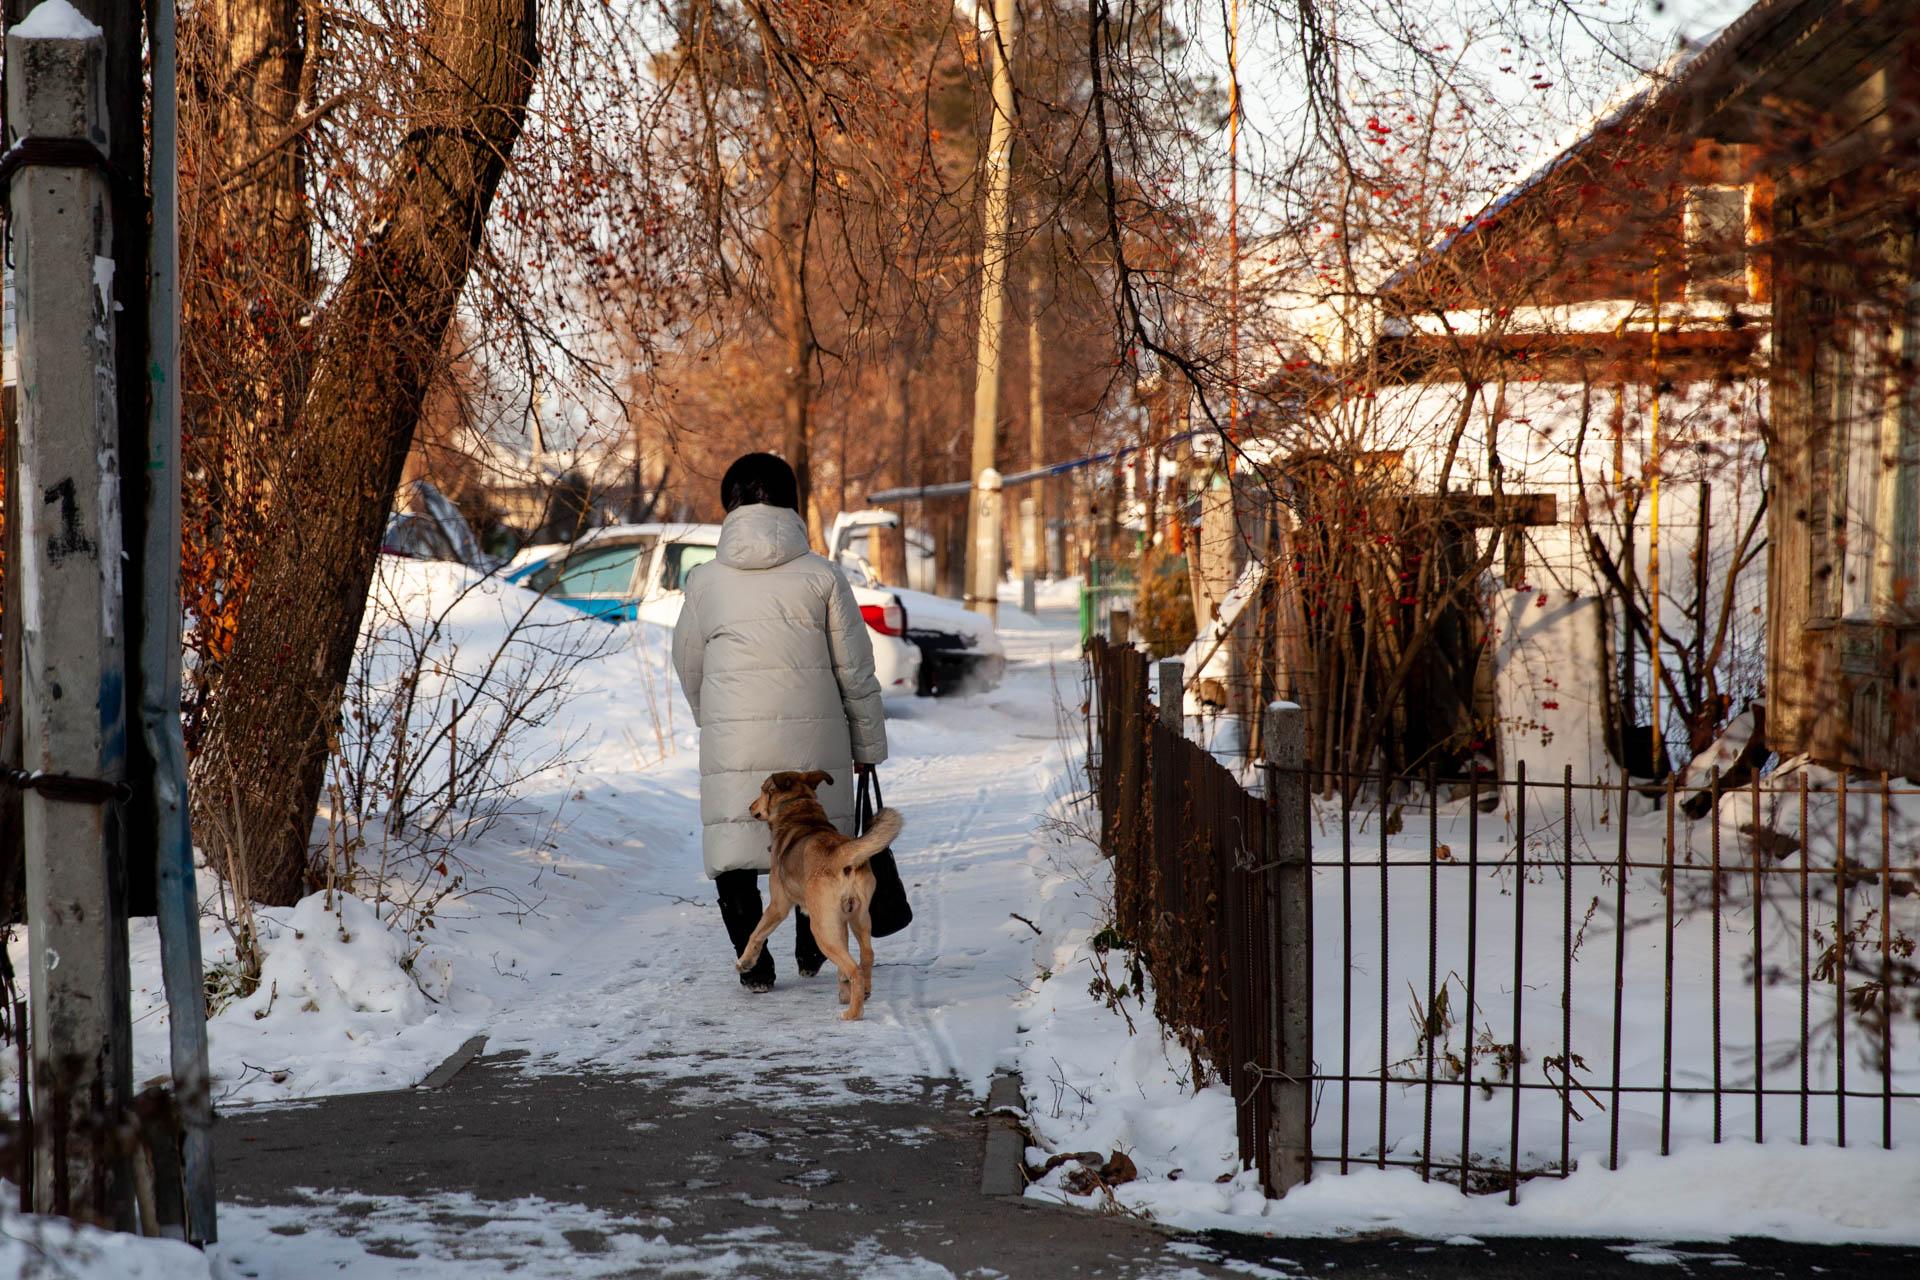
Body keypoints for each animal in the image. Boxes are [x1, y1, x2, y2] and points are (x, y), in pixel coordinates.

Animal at [741, 771, 906, 1020]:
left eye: (763, 789)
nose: (750, 807)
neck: (799, 808)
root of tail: (839, 854)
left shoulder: (778, 905)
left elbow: (756, 933)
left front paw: (744, 962)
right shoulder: (842, 921)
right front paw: (843, 991)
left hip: (821, 929)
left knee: (854, 969)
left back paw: (853, 1013)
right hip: (858, 919)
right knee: (866, 956)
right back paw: (859, 993)